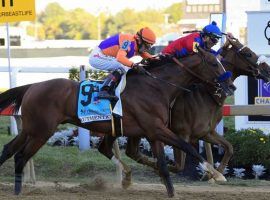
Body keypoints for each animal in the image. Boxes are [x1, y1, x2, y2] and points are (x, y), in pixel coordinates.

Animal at [0, 47, 233, 197]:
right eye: (215, 63)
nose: (230, 86)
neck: (157, 87)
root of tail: (32, 86)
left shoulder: (153, 131)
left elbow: (163, 164)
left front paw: (171, 190)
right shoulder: (156, 128)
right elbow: (187, 147)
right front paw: (217, 175)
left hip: (31, 128)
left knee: (9, 149)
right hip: (42, 131)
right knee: (21, 156)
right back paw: (18, 191)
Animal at [119, 37, 270, 175]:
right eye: (248, 54)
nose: (267, 70)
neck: (206, 94)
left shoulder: (206, 132)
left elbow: (229, 147)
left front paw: (218, 172)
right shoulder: (180, 133)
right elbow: (179, 165)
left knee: (132, 152)